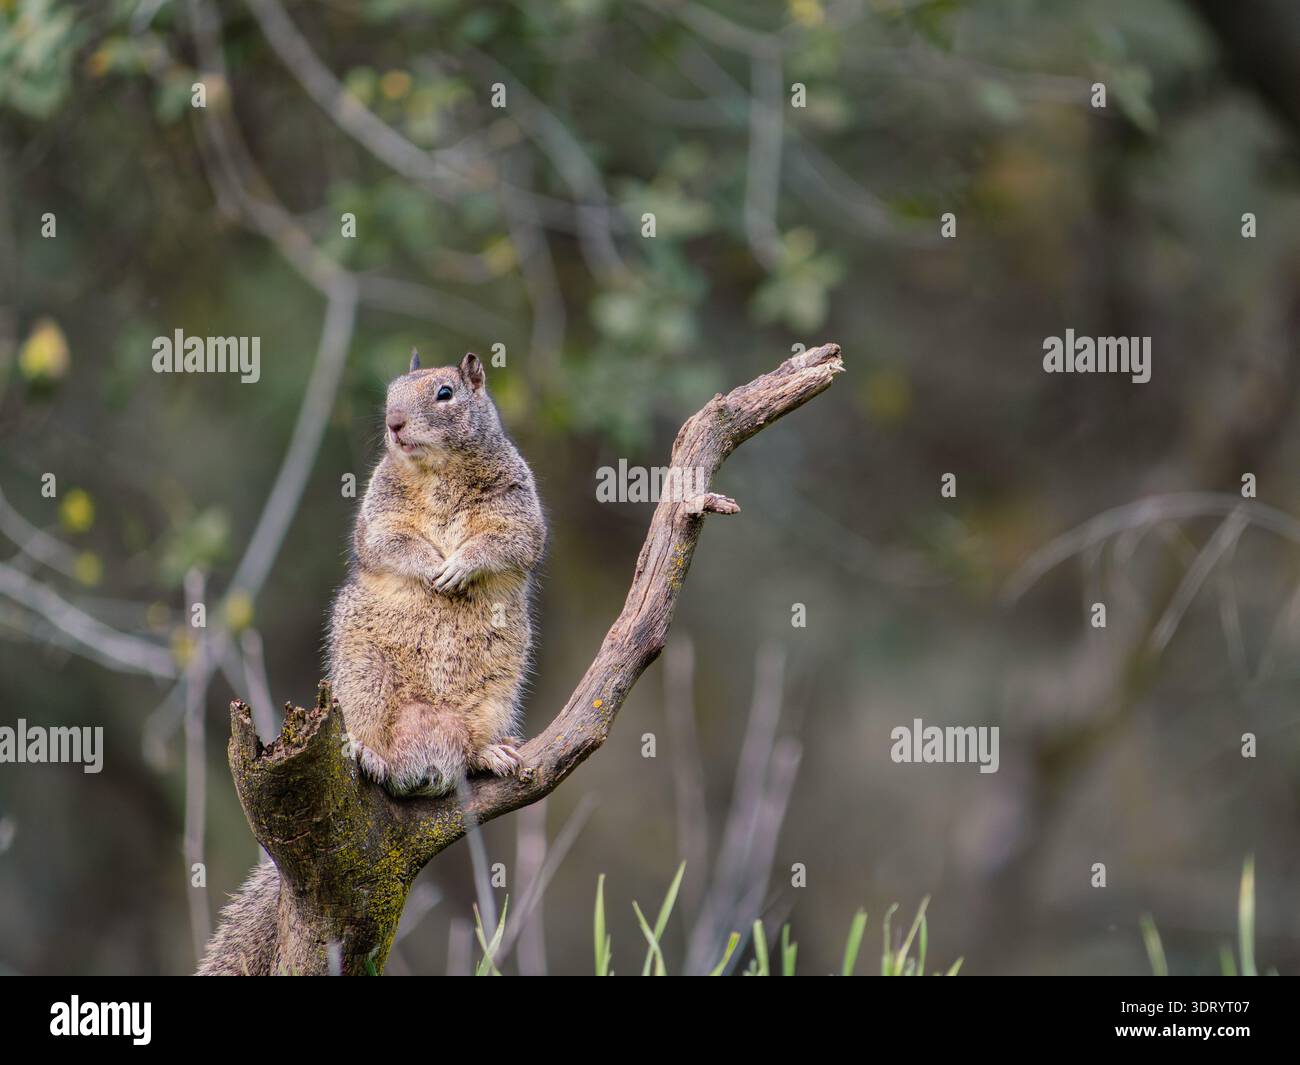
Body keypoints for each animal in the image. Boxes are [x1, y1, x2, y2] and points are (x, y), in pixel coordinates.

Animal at [197, 349, 545, 974]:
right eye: (390, 393)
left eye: (445, 393)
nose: (394, 424)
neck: (437, 469)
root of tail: (427, 741)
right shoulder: (380, 512)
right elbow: (388, 542)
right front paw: (432, 565)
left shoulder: (516, 506)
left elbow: (507, 541)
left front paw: (459, 565)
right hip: (366, 680)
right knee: (385, 755)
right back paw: (369, 755)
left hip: (494, 694)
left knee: (456, 756)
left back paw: (487, 754)